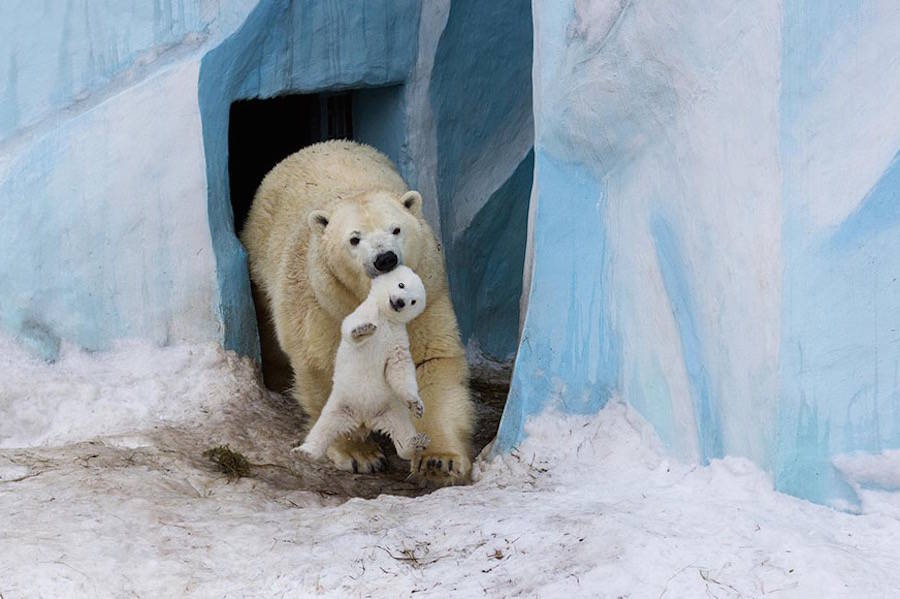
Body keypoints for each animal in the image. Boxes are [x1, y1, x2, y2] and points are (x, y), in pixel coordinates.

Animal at [296, 268, 432, 464]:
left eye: (413, 301)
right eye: (401, 284)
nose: (400, 302)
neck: (385, 317)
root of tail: (364, 419)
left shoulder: (397, 337)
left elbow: (399, 367)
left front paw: (417, 405)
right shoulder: (364, 312)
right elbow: (350, 328)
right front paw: (363, 330)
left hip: (390, 409)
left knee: (402, 432)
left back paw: (416, 444)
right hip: (341, 405)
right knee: (324, 428)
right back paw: (305, 451)